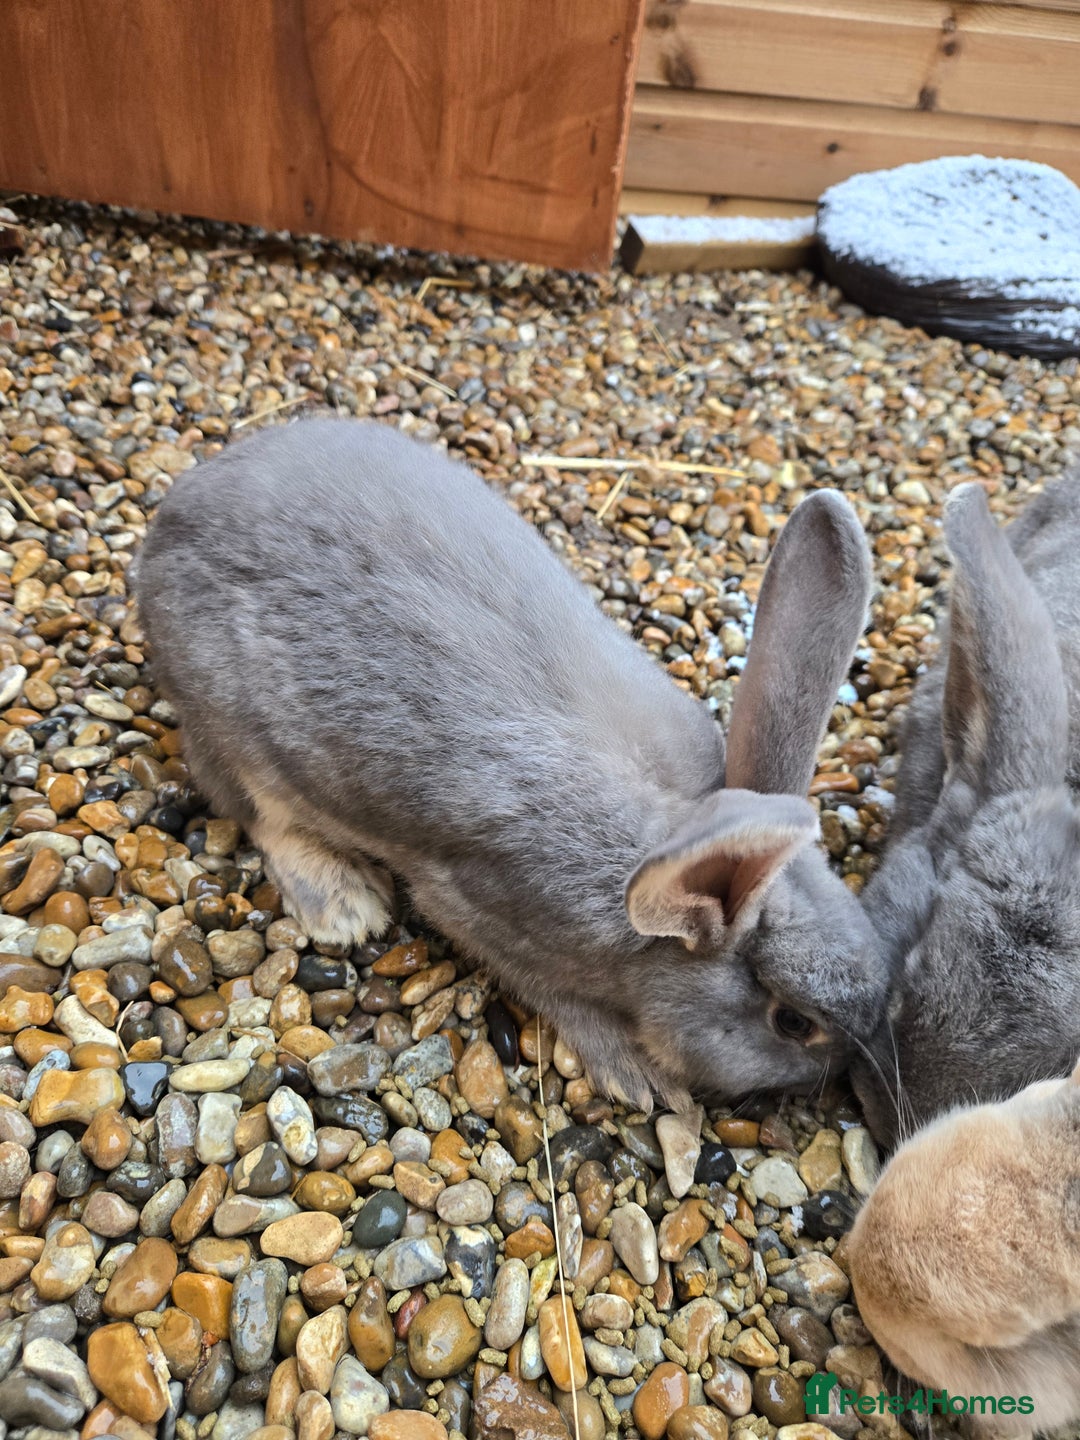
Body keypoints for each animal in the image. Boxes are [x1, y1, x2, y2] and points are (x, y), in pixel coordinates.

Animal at [134, 417, 885, 1110]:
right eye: (793, 1024)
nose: (843, 1072)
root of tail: (175, 512)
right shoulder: (483, 912)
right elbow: (557, 996)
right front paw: (639, 1076)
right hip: (233, 730)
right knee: (257, 812)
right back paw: (345, 907)